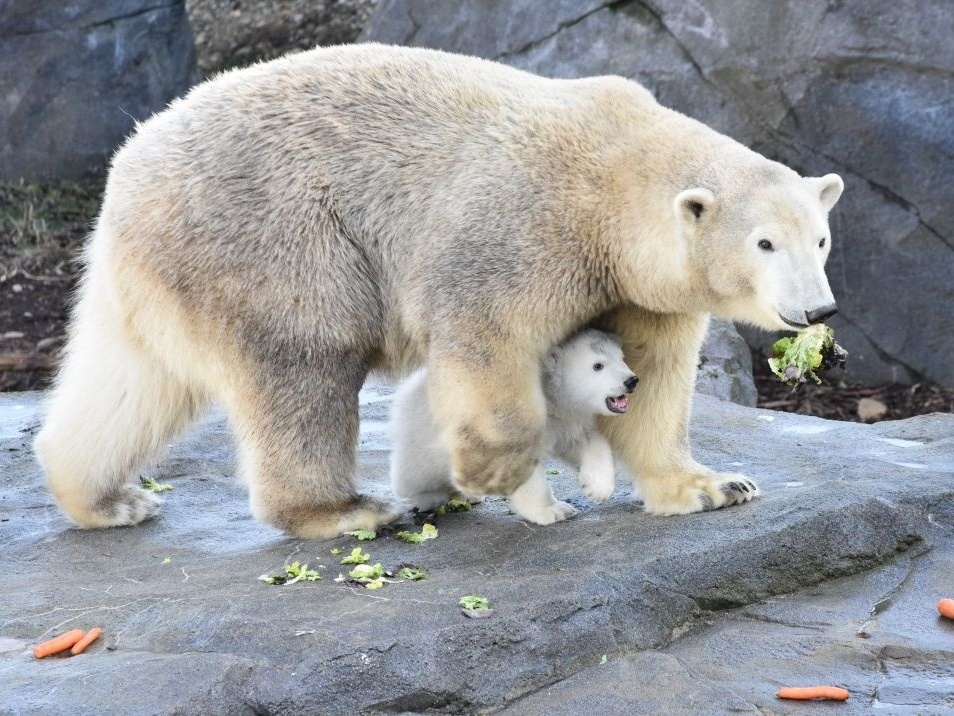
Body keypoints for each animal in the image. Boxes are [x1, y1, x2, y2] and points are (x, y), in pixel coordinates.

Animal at [35, 43, 840, 536]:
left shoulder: (640, 283)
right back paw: (349, 509)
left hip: (160, 268)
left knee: (132, 382)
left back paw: (107, 498)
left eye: (821, 237)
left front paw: (712, 485)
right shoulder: (526, 228)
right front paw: (489, 471)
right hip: (275, 240)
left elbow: (654, 371)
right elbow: (486, 333)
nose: (817, 308)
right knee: (305, 363)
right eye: (764, 243)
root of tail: (127, 168)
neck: (614, 179)